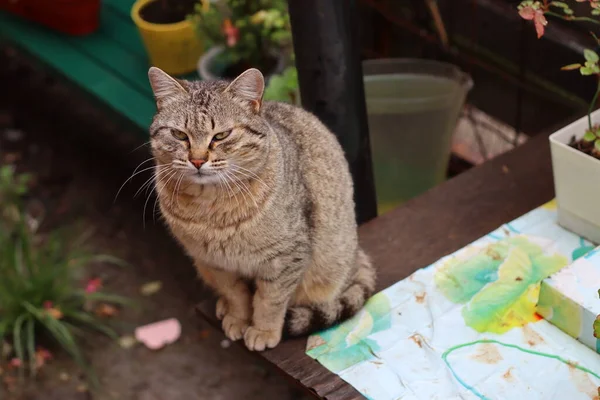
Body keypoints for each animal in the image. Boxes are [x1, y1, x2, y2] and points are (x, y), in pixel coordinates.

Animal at [146, 66, 376, 350]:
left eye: (221, 136)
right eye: (179, 135)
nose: (197, 160)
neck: (211, 208)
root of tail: (357, 254)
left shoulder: (285, 258)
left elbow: (269, 301)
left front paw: (264, 330)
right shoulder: (215, 263)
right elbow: (236, 295)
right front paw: (238, 318)